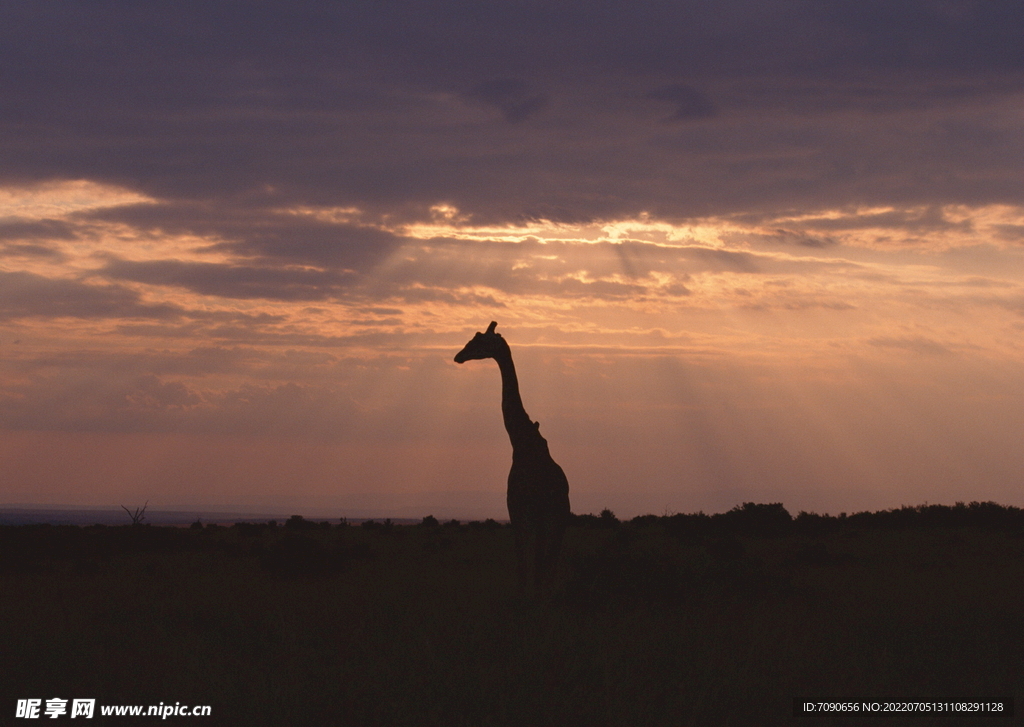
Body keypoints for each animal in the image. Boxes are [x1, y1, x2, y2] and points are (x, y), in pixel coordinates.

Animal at [454, 321, 573, 589]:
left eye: (480, 340)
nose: (459, 356)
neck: (520, 441)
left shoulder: (522, 510)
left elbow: (529, 564)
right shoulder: (521, 513)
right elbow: (524, 562)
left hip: (552, 518)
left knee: (546, 563)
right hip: (553, 520)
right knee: (550, 563)